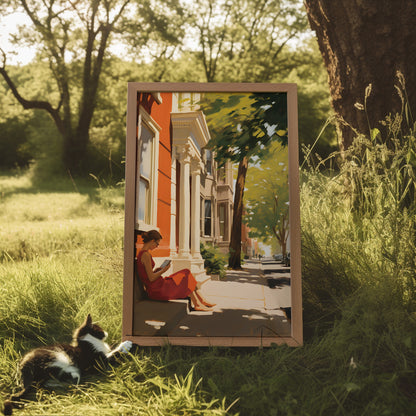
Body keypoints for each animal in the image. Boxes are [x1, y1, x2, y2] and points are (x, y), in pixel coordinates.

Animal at [2, 314, 132, 414]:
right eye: (99, 329)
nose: (106, 333)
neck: (88, 342)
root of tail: (25, 367)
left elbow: (111, 349)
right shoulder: (98, 362)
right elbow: (114, 353)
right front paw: (126, 344)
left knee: (46, 382)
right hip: (58, 358)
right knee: (61, 375)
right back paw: (74, 378)